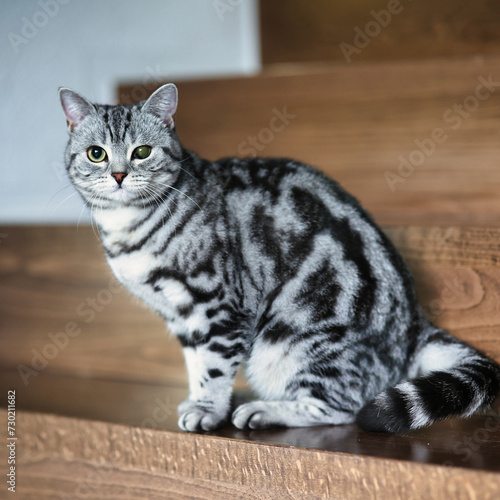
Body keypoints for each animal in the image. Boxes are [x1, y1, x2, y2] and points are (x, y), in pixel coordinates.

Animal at [59, 84, 500, 432]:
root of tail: (415, 325)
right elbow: (195, 363)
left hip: (293, 344)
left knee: (345, 407)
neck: (127, 228)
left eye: (142, 151)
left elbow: (213, 366)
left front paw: (207, 409)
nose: (118, 175)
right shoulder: (180, 315)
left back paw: (265, 410)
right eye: (96, 154)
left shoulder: (219, 307)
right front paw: (198, 399)